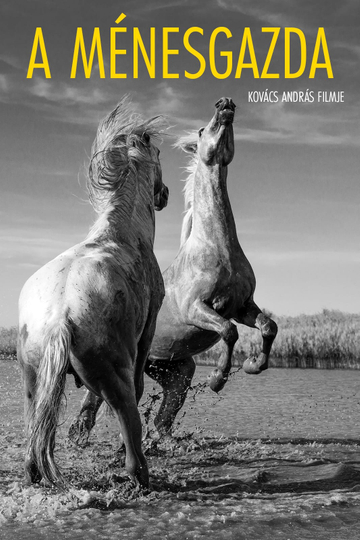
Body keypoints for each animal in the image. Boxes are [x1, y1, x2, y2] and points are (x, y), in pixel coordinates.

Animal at [16, 98, 169, 490]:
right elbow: (138, 387)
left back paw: (36, 473)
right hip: (114, 375)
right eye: (159, 154)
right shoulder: (147, 330)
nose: (163, 195)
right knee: (129, 422)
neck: (123, 232)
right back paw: (141, 477)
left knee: (36, 433)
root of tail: (60, 315)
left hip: (34, 378)